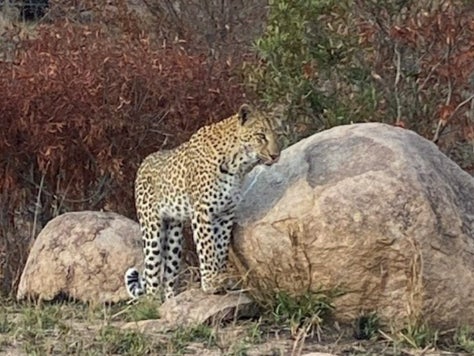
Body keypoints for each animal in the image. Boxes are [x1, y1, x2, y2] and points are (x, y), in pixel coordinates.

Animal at [125, 103, 282, 300]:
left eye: (278, 134)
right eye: (260, 136)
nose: (276, 155)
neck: (238, 166)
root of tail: (144, 161)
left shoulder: (225, 214)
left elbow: (221, 248)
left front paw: (222, 279)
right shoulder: (202, 211)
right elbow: (207, 248)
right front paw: (210, 283)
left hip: (174, 235)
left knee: (169, 275)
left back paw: (171, 299)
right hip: (152, 230)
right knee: (152, 278)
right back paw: (154, 300)